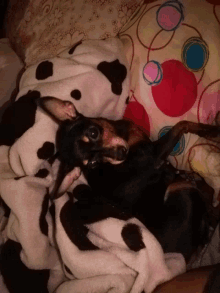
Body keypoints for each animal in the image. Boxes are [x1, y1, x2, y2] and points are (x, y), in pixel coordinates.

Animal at [38, 97, 220, 262]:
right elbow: (182, 124)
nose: (121, 154)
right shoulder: (156, 155)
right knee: (207, 205)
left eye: (93, 132)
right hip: (179, 189)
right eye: (91, 163)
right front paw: (212, 130)